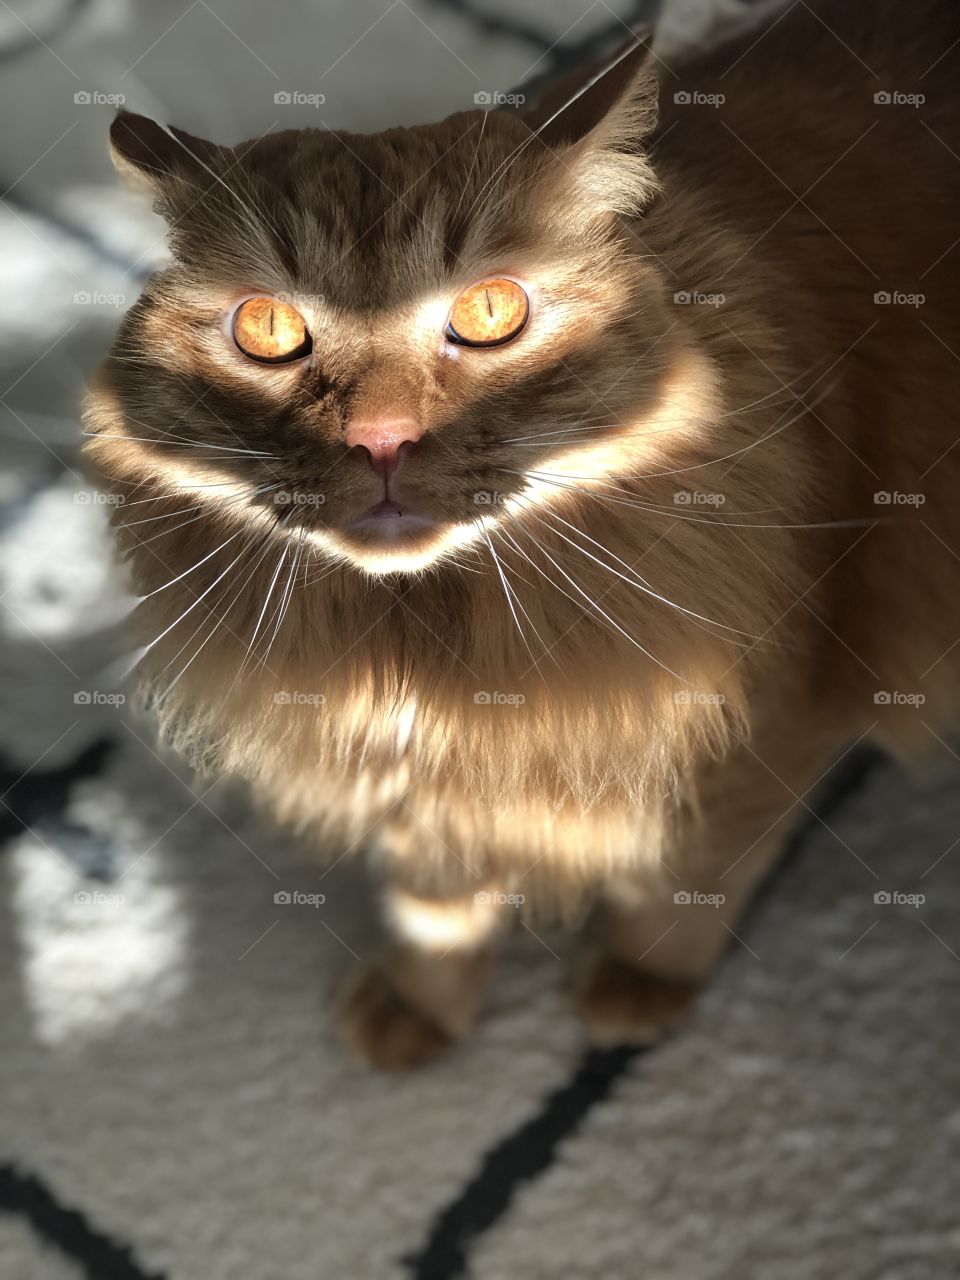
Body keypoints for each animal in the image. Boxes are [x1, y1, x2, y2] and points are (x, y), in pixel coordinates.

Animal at [84, 2, 960, 1070]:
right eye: (268, 330)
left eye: (491, 311)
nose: (381, 437)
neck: (428, 650)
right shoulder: (421, 790)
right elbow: (435, 912)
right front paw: (422, 1006)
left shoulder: (774, 725)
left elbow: (691, 876)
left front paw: (635, 985)